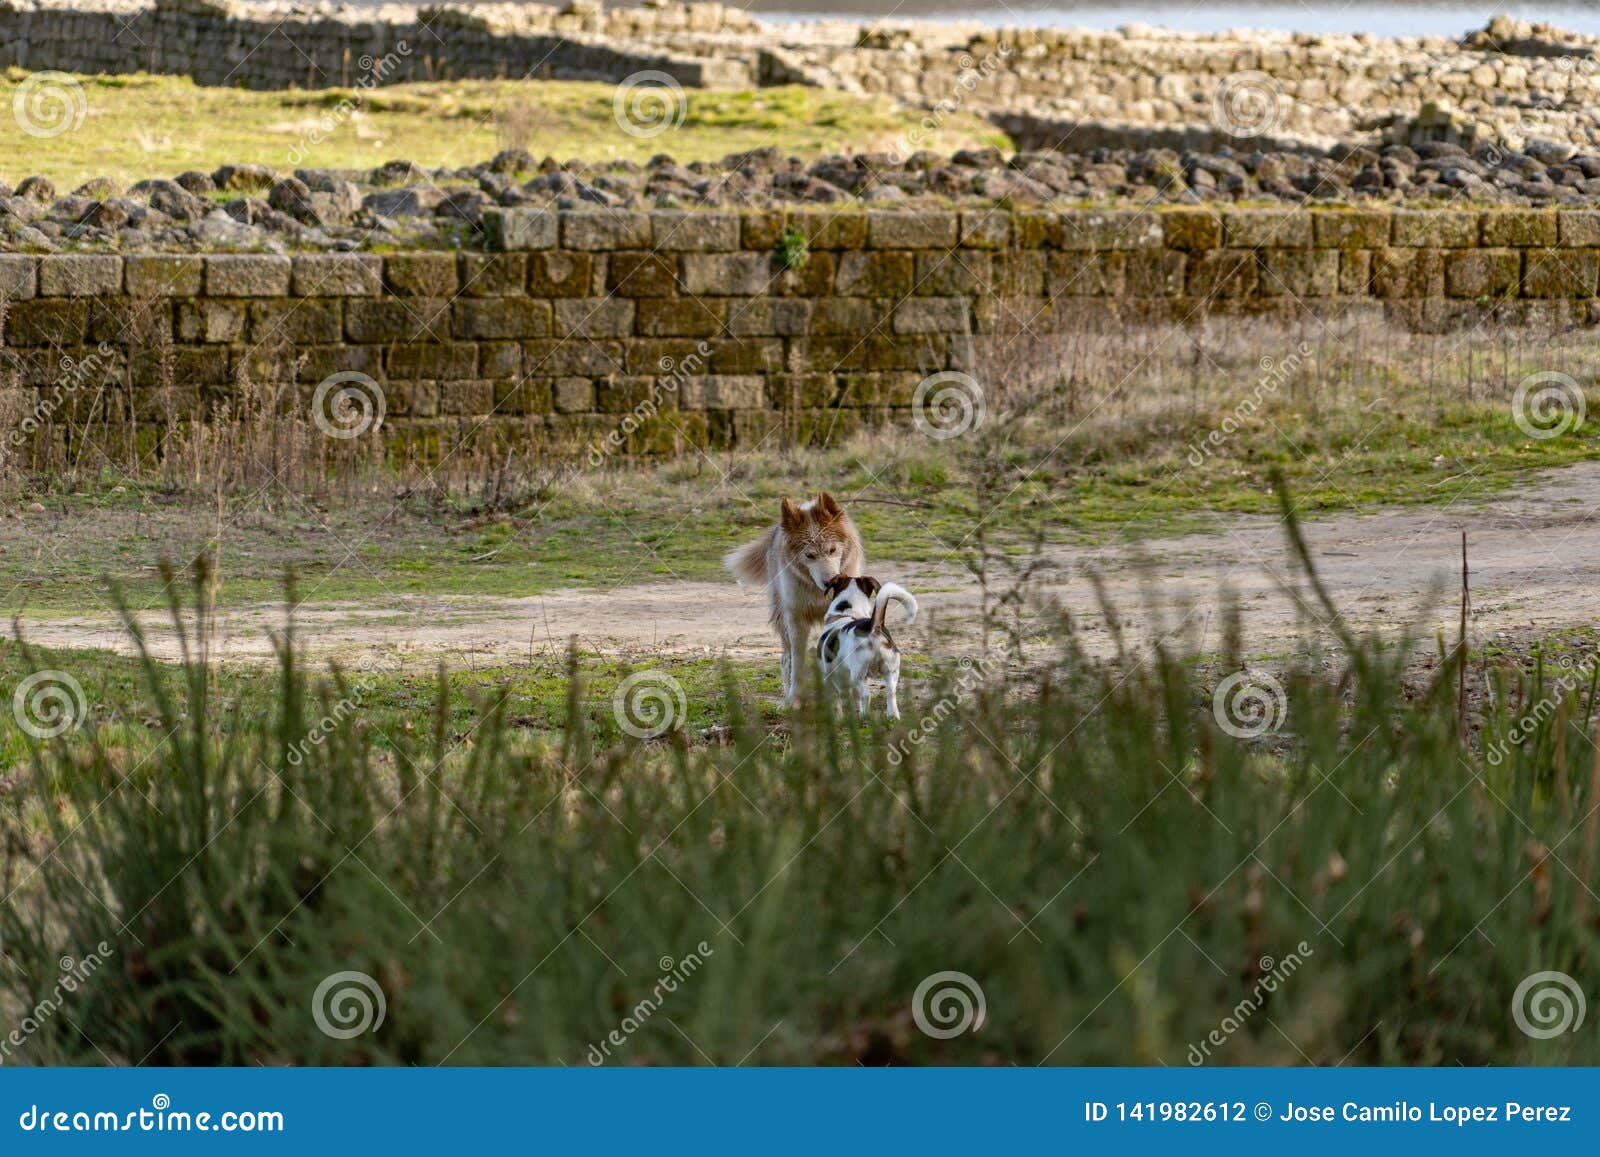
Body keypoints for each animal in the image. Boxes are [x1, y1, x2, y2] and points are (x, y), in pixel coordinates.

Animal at [729, 492, 864, 700]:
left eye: (832, 550)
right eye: (809, 556)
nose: (830, 582)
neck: (819, 594)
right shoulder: (796, 620)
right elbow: (797, 663)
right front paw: (794, 700)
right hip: (783, 620)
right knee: (786, 659)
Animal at [819, 576, 921, 720]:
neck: (847, 614)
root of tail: (874, 627)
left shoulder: (829, 678)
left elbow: (837, 703)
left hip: (858, 675)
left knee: (867, 696)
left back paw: (864, 716)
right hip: (891, 672)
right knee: (891, 694)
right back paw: (893, 717)